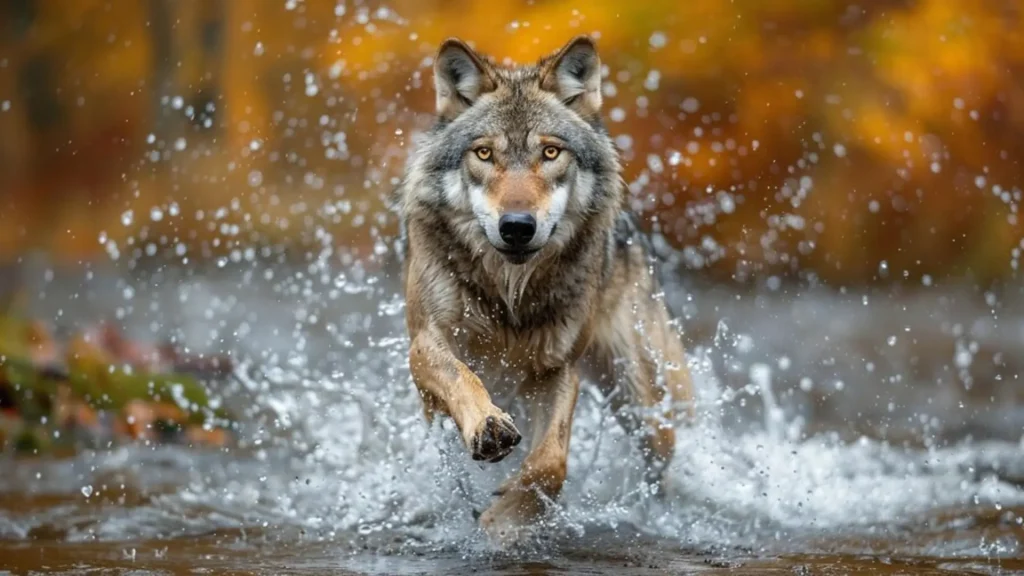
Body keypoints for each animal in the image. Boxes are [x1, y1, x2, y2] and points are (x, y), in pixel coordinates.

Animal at [394, 35, 694, 541]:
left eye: (551, 154)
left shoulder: (558, 367)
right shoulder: (426, 343)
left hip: (645, 402)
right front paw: (489, 427)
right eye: (484, 154)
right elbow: (463, 379)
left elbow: (552, 463)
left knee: (661, 462)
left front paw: (508, 519)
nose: (517, 226)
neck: (510, 296)